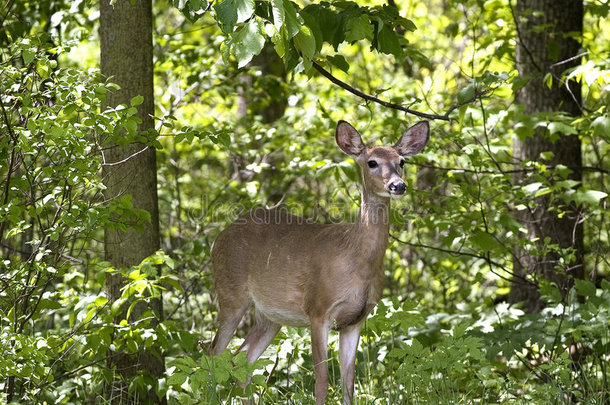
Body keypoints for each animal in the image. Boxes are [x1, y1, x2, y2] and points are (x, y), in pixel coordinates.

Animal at [209, 118, 428, 402]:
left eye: (402, 161)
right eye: (372, 162)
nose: (398, 185)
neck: (358, 261)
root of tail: (218, 238)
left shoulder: (356, 320)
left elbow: (349, 383)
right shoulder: (318, 309)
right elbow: (322, 382)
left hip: (269, 316)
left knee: (240, 360)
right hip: (230, 292)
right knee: (213, 353)